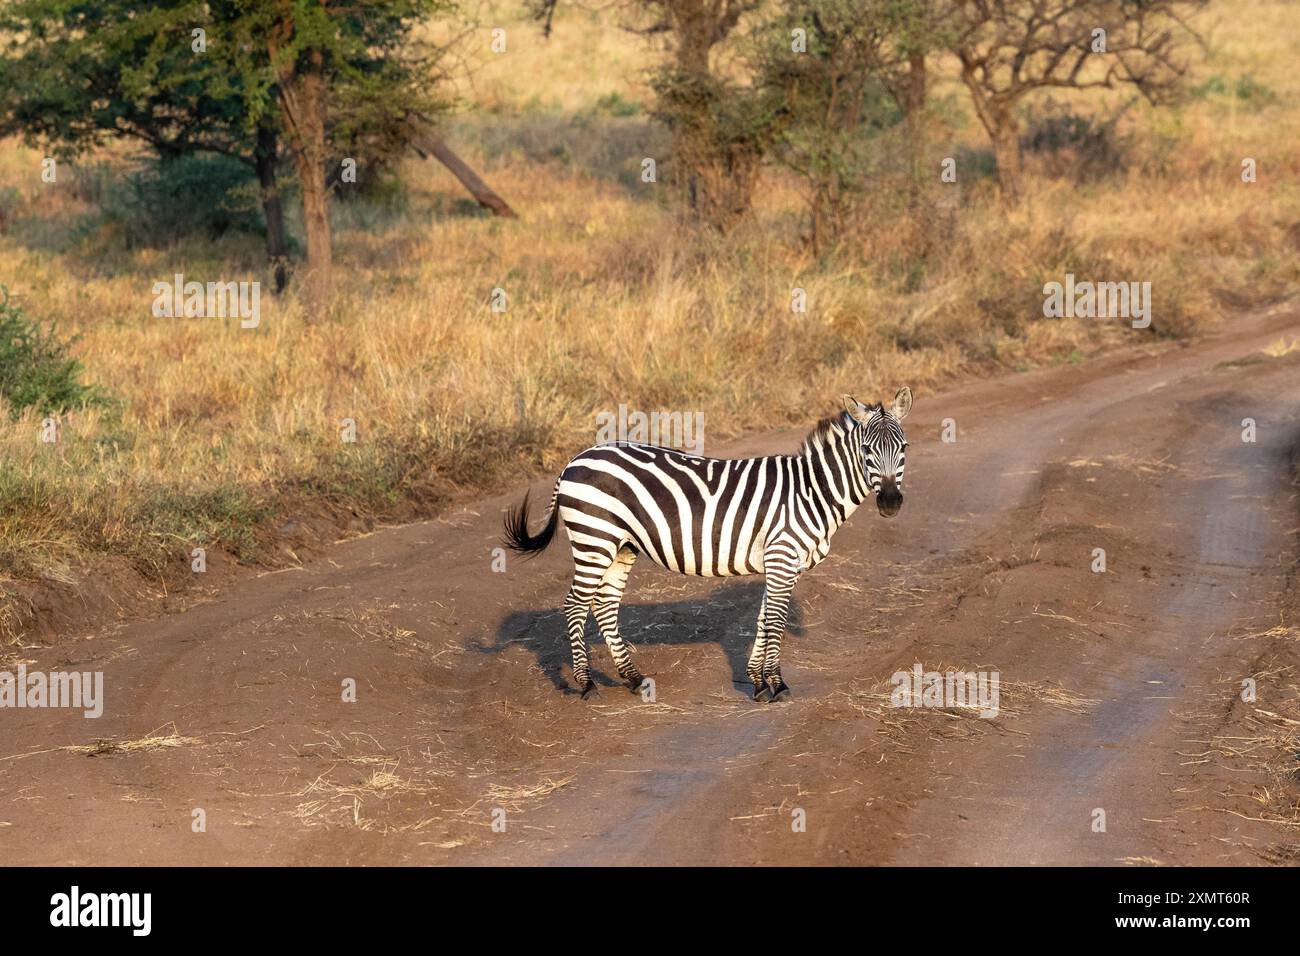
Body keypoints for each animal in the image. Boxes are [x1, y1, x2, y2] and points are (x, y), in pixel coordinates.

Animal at [499, 390, 915, 702]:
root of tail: (575, 460)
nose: (891, 503)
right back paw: (586, 684)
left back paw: (633, 678)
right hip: (594, 538)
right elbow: (775, 620)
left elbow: (763, 618)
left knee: (604, 605)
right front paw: (777, 684)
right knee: (575, 605)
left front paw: (758, 681)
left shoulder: (778, 563)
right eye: (867, 450)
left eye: (904, 448)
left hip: (621, 545)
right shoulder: (782, 556)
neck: (812, 491)